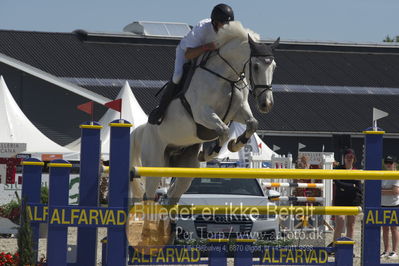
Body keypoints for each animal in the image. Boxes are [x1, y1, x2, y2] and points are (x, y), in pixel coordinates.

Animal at [130, 21, 278, 204]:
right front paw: (209, 153)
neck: (227, 77)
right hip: (155, 162)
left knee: (173, 195)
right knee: (149, 195)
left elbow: (252, 124)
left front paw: (235, 144)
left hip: (185, 167)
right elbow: (224, 130)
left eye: (274, 67)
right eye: (256, 66)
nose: (266, 104)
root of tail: (144, 129)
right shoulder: (203, 114)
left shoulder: (239, 111)